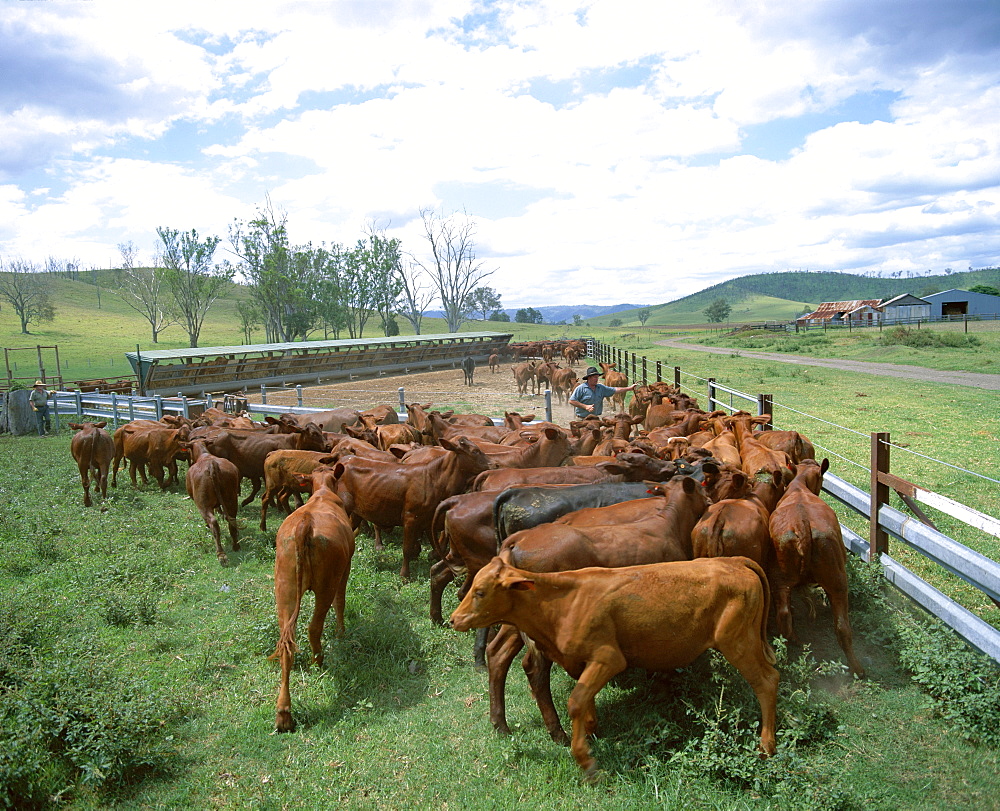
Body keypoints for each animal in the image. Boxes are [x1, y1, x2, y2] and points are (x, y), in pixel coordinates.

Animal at [270, 466, 356, 732]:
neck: (323, 493)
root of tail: (305, 524)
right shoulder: (345, 568)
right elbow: (341, 601)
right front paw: (341, 632)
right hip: (326, 584)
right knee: (314, 627)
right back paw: (318, 661)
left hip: (284, 588)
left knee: (286, 642)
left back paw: (284, 714)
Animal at [450, 560, 776, 780]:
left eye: (480, 592)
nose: (454, 619)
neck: (562, 603)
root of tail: (733, 561)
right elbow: (585, 701)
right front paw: (591, 730)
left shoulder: (609, 658)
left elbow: (576, 700)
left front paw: (585, 761)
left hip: (738, 641)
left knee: (767, 681)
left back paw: (767, 746)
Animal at [768, 460, 864, 676]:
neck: (799, 487)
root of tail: (802, 525)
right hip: (838, 580)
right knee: (843, 627)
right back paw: (858, 669)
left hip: (780, 579)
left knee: (784, 614)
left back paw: (794, 642)